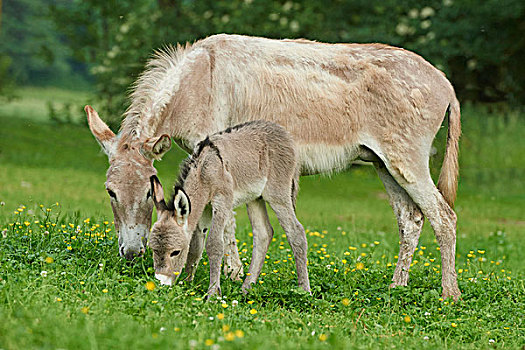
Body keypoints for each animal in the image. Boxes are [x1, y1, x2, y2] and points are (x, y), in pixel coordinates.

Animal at [148, 121, 312, 296]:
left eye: (175, 252)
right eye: (153, 249)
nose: (161, 284)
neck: (204, 170)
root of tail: (283, 133)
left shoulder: (222, 201)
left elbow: (214, 244)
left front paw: (213, 293)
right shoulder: (204, 208)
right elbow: (196, 246)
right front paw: (188, 284)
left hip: (277, 194)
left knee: (296, 232)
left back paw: (304, 290)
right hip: (255, 198)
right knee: (264, 234)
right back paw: (247, 289)